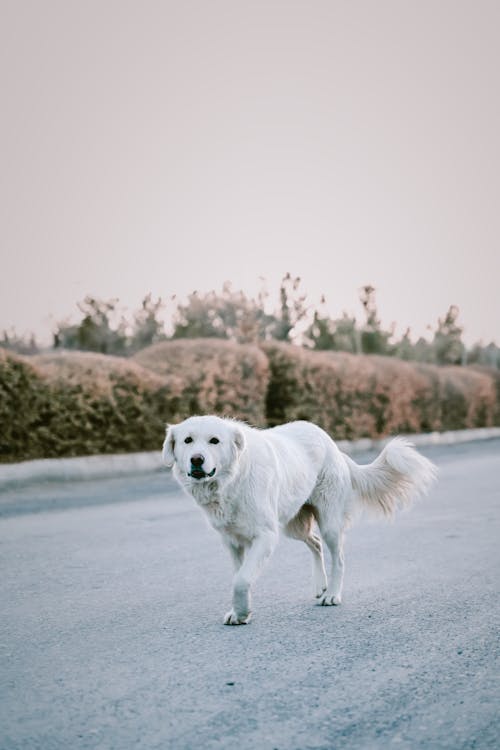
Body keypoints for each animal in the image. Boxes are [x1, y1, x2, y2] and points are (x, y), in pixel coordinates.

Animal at [162, 420, 436, 624]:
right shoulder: (232, 542)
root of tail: (331, 443)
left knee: (338, 557)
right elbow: (239, 576)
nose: (197, 459)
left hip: (329, 524)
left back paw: (332, 594)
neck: (232, 480)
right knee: (314, 542)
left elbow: (241, 580)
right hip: (294, 526)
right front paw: (241, 612)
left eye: (214, 441)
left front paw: (242, 612)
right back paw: (321, 585)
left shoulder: (266, 536)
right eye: (188, 440)